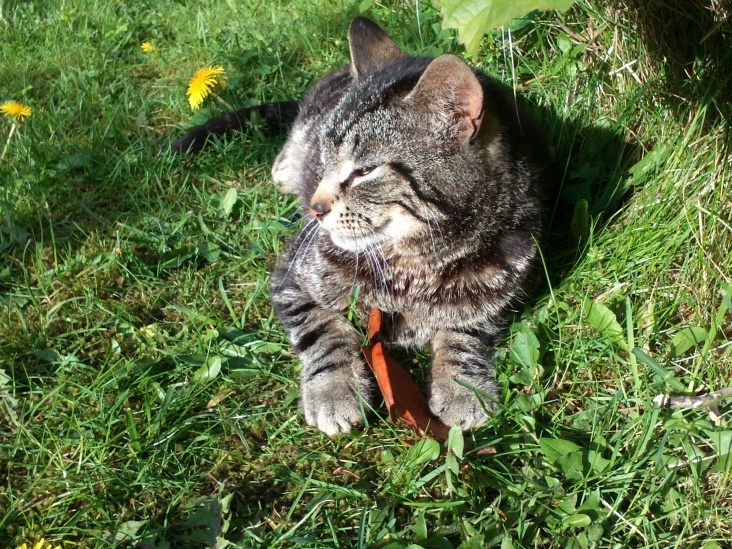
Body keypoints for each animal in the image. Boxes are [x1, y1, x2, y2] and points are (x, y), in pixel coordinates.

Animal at [174, 17, 552, 434]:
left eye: (364, 172)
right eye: (324, 160)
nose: (315, 207)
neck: (414, 267)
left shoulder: (502, 292)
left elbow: (465, 333)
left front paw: (462, 387)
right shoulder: (292, 279)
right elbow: (325, 332)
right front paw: (334, 390)